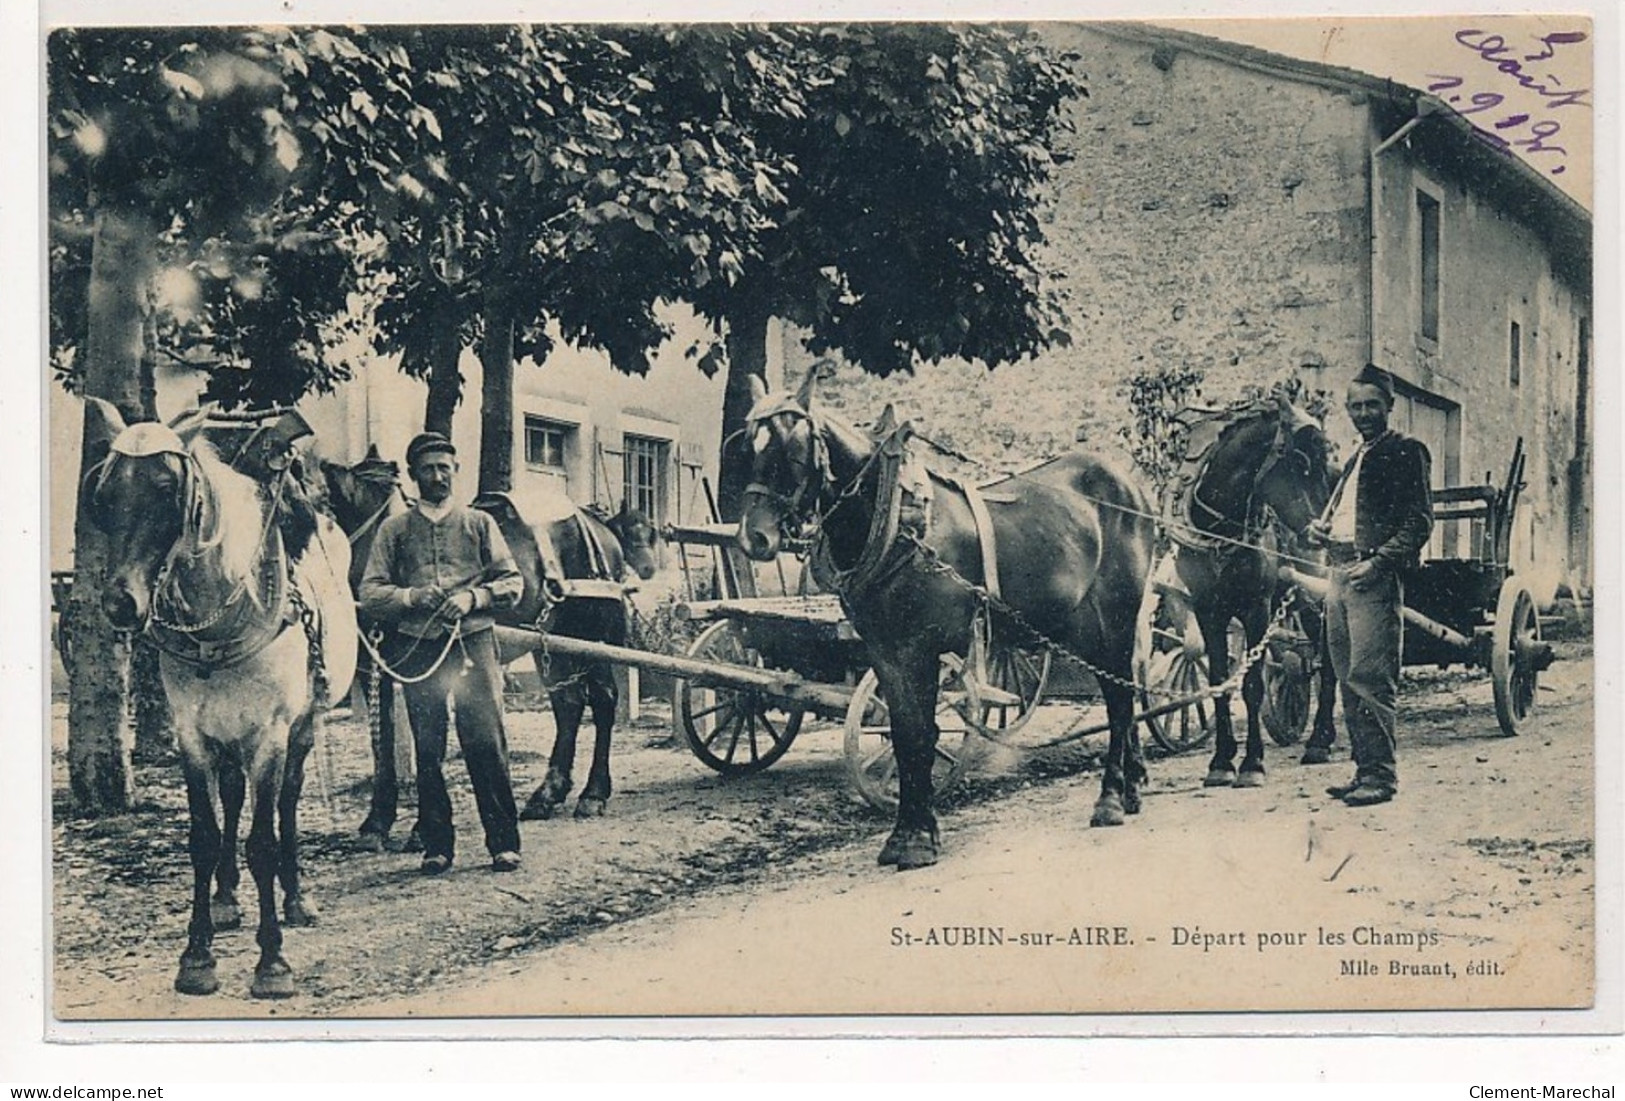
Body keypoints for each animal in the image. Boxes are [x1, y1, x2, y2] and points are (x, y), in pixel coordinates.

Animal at [85, 401, 355, 1006]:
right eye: (104, 494)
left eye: (167, 489)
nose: (120, 604)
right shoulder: (192, 734)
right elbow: (205, 838)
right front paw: (197, 956)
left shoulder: (271, 734)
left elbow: (263, 842)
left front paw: (272, 961)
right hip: (227, 734)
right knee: (232, 798)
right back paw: (228, 899)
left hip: (302, 727)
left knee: (285, 805)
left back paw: (296, 897)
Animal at [737, 375, 1157, 876]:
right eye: (748, 448)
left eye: (793, 451)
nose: (754, 538)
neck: (895, 520)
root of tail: (1129, 483)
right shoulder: (887, 653)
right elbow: (904, 736)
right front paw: (904, 834)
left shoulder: (922, 648)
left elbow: (923, 735)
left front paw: (920, 838)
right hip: (1081, 628)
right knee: (1123, 688)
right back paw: (1131, 786)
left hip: (1113, 616)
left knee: (1119, 698)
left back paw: (1111, 796)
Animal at [1163, 401, 1339, 789]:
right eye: (1299, 461)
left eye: (1325, 463)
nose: (1321, 533)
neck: (1219, 532)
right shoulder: (1208, 610)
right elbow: (1218, 682)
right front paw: (1221, 761)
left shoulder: (1256, 609)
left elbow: (1253, 686)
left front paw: (1252, 763)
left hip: (1315, 594)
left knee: (1330, 661)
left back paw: (1320, 740)